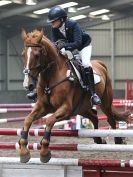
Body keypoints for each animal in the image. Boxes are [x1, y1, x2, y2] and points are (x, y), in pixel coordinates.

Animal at [19, 29, 130, 163]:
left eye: (36, 55)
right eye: (23, 54)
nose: (28, 85)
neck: (52, 75)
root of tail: (100, 64)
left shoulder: (66, 108)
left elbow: (49, 121)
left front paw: (44, 152)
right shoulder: (43, 106)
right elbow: (27, 119)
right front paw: (24, 151)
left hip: (105, 103)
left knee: (110, 118)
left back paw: (118, 139)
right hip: (82, 108)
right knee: (94, 117)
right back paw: (98, 139)